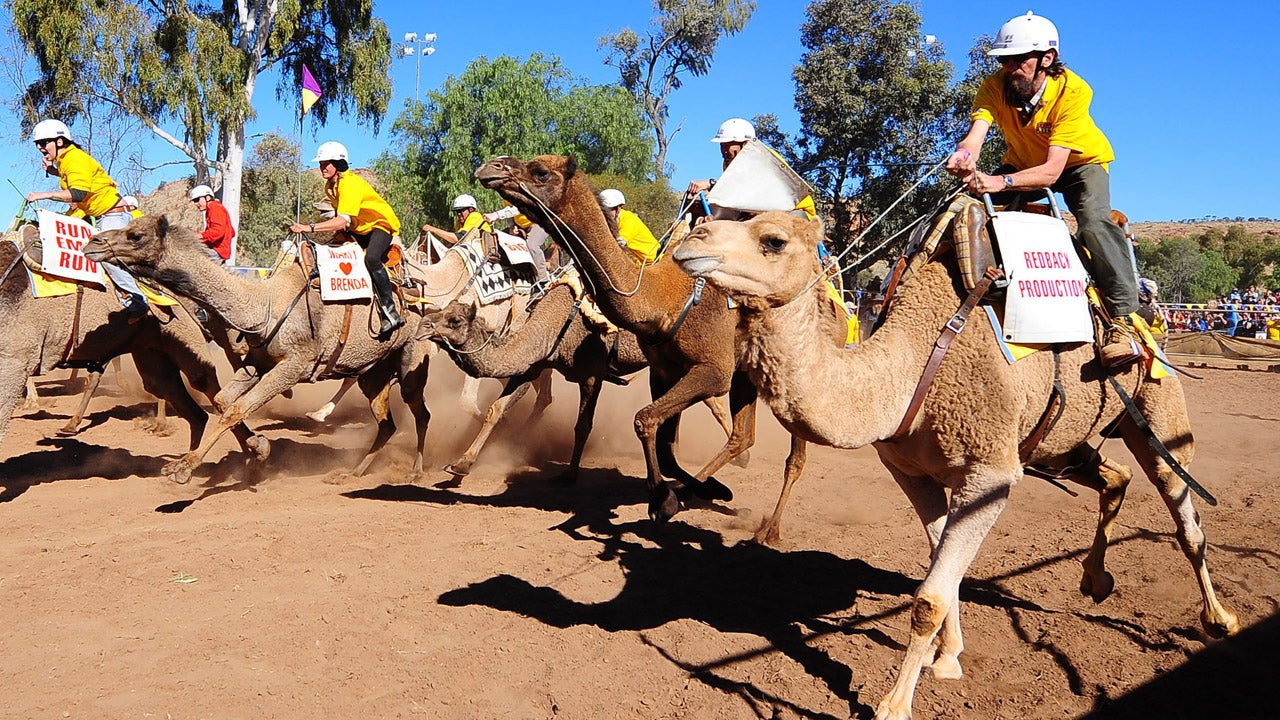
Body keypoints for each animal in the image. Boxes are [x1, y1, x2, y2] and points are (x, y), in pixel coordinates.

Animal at [0, 226, 261, 461]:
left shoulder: (15, 361)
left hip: (185, 338)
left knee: (209, 385)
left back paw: (249, 448)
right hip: (153, 349)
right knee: (181, 398)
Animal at [82, 215, 474, 484]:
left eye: (135, 235)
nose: (93, 242)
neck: (265, 306)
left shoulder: (295, 366)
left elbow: (236, 408)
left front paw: (186, 468)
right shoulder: (258, 360)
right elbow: (224, 401)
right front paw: (256, 449)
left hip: (411, 360)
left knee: (420, 413)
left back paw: (415, 472)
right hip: (373, 372)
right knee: (386, 422)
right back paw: (351, 473)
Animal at [420, 279, 738, 481]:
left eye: (455, 321)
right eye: (442, 311)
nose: (423, 325)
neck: (555, 324)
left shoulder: (591, 374)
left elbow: (583, 425)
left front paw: (570, 473)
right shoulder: (534, 366)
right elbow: (496, 409)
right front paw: (460, 464)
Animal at [671, 211, 1240, 720]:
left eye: (773, 239)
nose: (691, 240)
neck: (910, 369)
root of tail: (1147, 320)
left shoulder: (989, 474)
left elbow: (929, 596)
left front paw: (894, 706)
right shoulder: (913, 473)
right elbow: (941, 571)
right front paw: (947, 659)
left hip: (1157, 411)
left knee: (1184, 514)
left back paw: (1219, 619)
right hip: (1058, 446)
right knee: (1113, 476)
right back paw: (1095, 581)